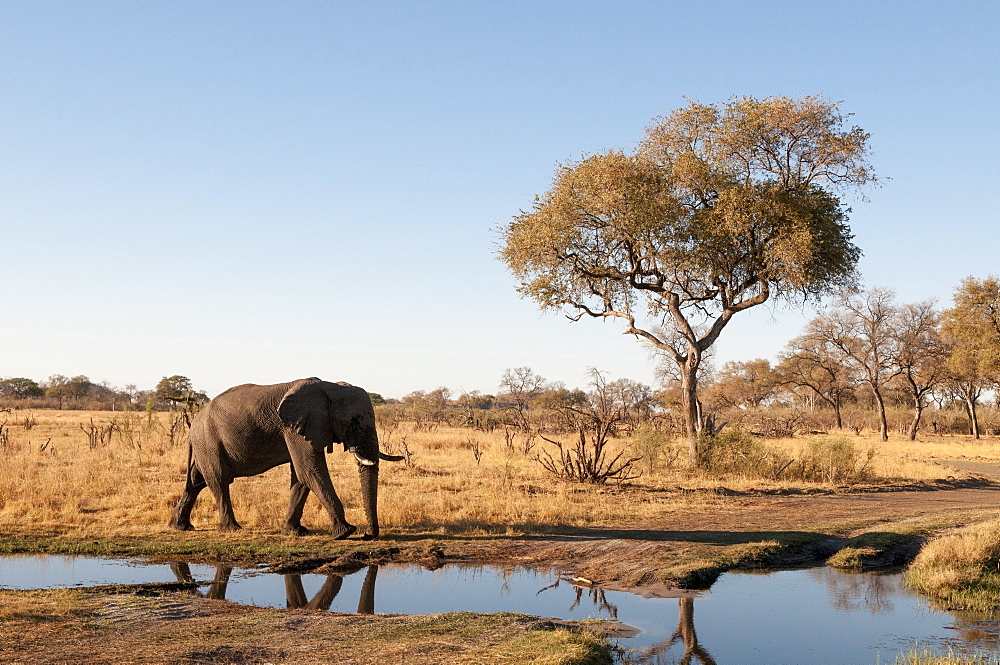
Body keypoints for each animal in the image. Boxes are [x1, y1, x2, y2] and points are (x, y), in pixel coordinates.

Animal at [168, 376, 398, 536]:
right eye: (354, 421)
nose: (369, 535)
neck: (330, 386)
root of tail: (193, 424)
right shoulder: (296, 428)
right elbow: (310, 471)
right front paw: (346, 531)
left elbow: (301, 476)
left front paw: (295, 532)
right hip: (209, 441)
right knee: (219, 480)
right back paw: (231, 530)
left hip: (205, 445)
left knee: (196, 480)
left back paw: (180, 527)